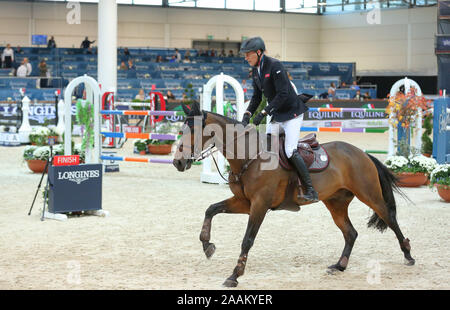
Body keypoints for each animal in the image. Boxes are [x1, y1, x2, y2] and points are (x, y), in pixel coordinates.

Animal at [172, 102, 414, 288]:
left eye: (193, 131)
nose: (177, 162)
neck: (249, 157)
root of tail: (361, 153)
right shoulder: (244, 202)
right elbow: (211, 209)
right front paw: (207, 246)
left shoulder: (259, 205)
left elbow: (247, 239)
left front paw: (234, 275)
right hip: (335, 202)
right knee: (351, 233)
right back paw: (339, 266)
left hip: (369, 195)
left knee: (390, 219)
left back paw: (408, 255)